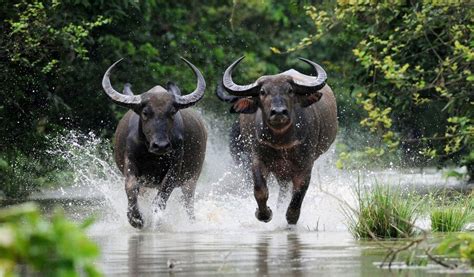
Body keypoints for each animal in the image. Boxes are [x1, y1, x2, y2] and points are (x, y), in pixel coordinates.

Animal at [103, 57, 206, 227]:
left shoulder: (175, 166)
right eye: (145, 113)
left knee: (188, 201)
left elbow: (163, 194)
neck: (152, 156)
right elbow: (131, 186)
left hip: (192, 176)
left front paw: (155, 219)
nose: (161, 145)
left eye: (172, 112)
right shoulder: (130, 160)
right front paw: (136, 218)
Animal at [217, 56, 336, 224]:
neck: (281, 140)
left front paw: (291, 217)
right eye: (262, 92)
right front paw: (264, 214)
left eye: (290, 90)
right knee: (283, 189)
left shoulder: (306, 162)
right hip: (280, 170)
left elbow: (299, 191)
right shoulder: (257, 158)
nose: (279, 112)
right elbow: (260, 190)